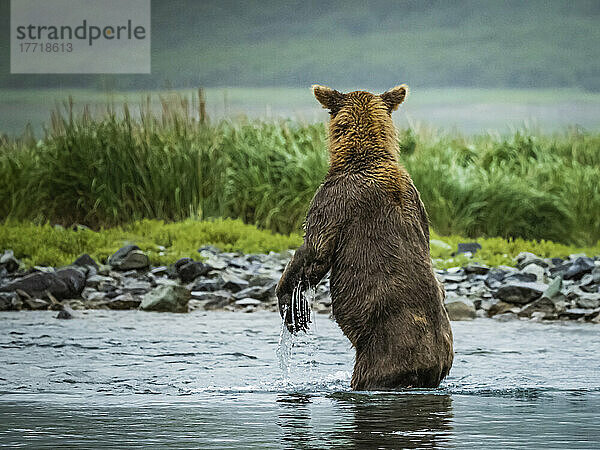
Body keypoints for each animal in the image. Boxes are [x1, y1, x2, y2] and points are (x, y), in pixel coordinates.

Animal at [276, 85, 454, 390]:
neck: (363, 156)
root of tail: (431, 365)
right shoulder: (419, 204)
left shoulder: (336, 199)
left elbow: (315, 250)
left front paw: (292, 308)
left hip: (379, 351)